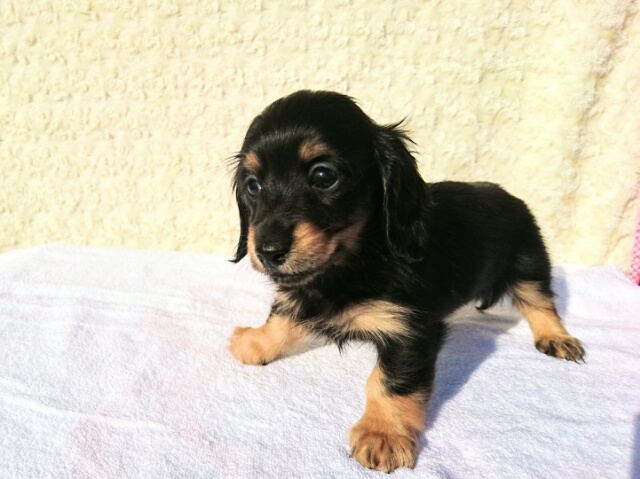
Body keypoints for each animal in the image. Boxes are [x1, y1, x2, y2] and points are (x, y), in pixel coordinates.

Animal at [227, 90, 585, 472]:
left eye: (323, 175)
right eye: (253, 185)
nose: (268, 251)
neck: (353, 263)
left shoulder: (410, 330)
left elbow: (389, 383)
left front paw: (382, 433)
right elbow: (281, 317)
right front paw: (257, 342)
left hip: (529, 264)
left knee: (541, 302)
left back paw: (557, 338)